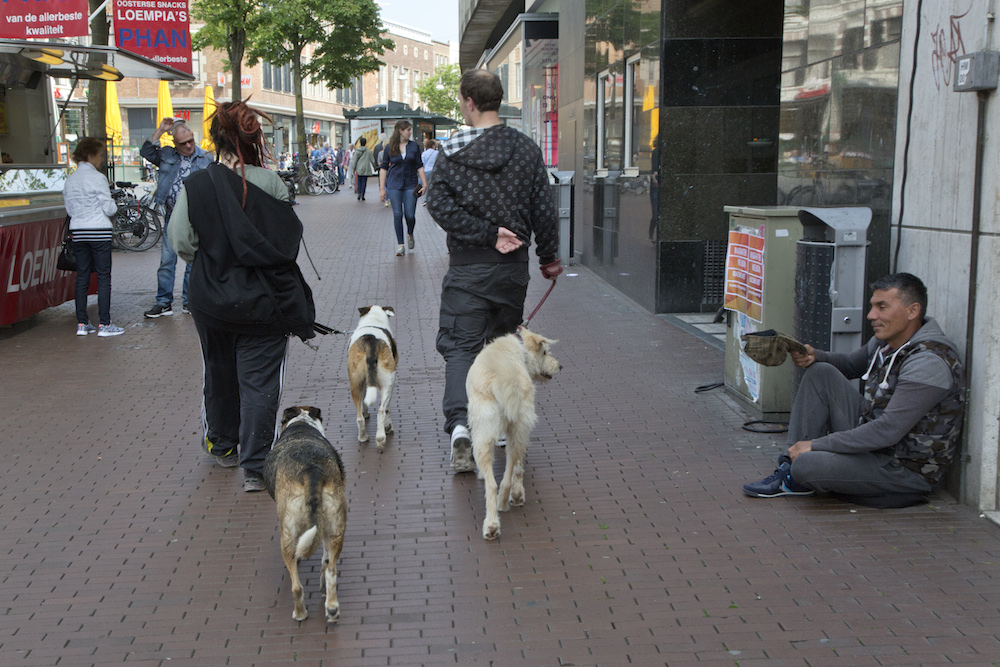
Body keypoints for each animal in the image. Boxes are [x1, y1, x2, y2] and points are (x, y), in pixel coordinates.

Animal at [262, 410, 348, 624]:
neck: (302, 424)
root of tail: (311, 469)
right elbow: (325, 561)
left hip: (288, 535)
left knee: (296, 586)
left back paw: (300, 613)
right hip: (336, 529)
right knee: (331, 571)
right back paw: (332, 609)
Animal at [346, 306, 396, 448]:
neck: (374, 320)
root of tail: (371, 343)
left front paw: (365, 411)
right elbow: (387, 409)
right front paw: (388, 427)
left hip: (355, 382)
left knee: (359, 417)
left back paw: (363, 437)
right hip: (388, 383)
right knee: (381, 411)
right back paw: (381, 437)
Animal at [468, 328, 564, 544]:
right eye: (544, 352)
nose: (559, 366)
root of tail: (505, 376)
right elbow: (518, 468)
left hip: (483, 435)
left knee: (492, 484)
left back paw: (491, 525)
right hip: (520, 429)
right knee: (509, 473)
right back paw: (509, 500)